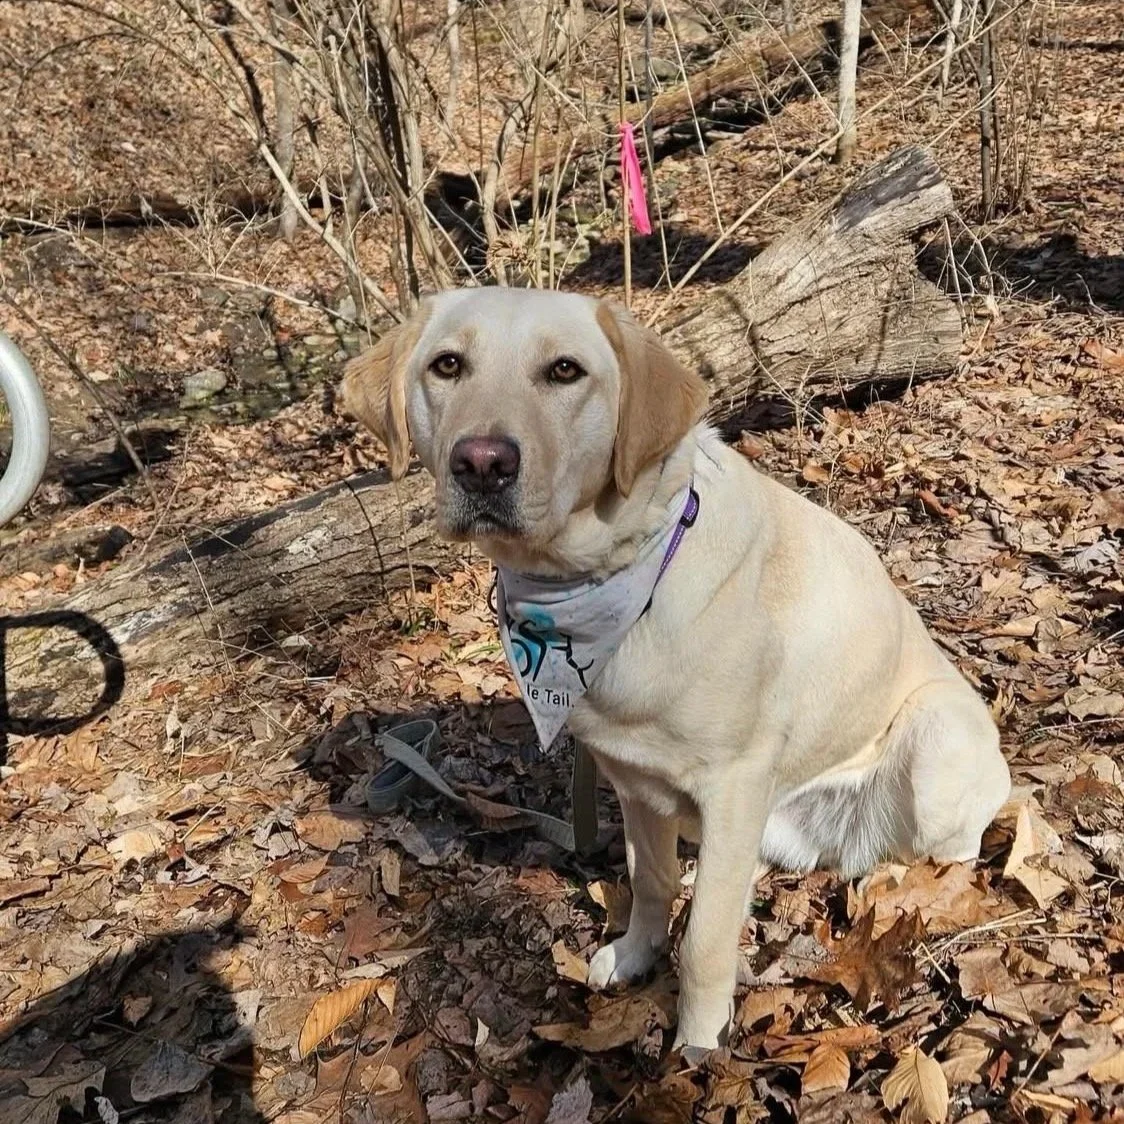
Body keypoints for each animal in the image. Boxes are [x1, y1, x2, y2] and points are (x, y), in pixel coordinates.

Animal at [340, 287, 1011, 1050]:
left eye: (565, 371)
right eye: (448, 365)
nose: (482, 462)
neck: (612, 576)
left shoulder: (734, 785)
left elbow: (707, 940)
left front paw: (696, 1049)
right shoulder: (637, 781)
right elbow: (653, 880)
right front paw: (636, 955)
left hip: (935, 737)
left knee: (948, 851)